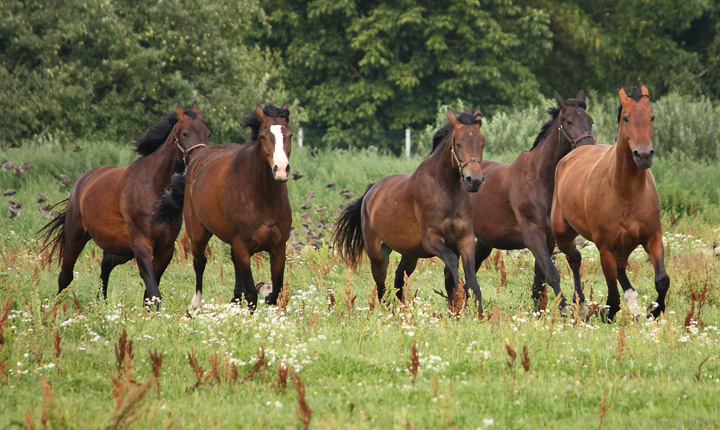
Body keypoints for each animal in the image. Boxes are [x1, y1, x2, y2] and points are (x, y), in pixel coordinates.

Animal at [39, 102, 210, 308]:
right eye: (185, 133)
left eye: (207, 133)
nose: (201, 158)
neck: (152, 187)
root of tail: (82, 182)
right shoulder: (141, 245)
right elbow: (154, 292)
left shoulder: (165, 249)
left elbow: (149, 295)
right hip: (76, 237)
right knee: (65, 276)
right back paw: (55, 308)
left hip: (120, 249)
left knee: (105, 265)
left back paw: (101, 303)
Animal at [155, 102, 292, 310]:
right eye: (262, 136)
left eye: (289, 135)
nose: (281, 169)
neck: (262, 197)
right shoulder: (243, 247)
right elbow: (251, 294)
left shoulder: (278, 248)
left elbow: (276, 292)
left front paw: (266, 292)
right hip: (198, 233)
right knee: (199, 263)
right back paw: (195, 305)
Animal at [334, 106, 486, 310]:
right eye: (458, 143)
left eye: (482, 144)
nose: (474, 180)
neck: (446, 190)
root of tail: (371, 192)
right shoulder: (431, 240)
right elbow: (453, 265)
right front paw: (460, 301)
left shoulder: (466, 239)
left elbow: (471, 278)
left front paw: (477, 312)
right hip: (378, 255)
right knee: (382, 288)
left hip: (410, 254)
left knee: (398, 279)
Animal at [444, 91, 596, 312]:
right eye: (568, 121)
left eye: (590, 121)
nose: (588, 149)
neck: (539, 179)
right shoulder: (532, 235)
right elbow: (552, 273)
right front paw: (565, 308)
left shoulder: (548, 240)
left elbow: (540, 280)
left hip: (483, 243)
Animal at [552, 85, 668, 320]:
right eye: (626, 118)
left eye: (651, 117)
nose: (643, 155)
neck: (626, 192)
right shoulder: (605, 247)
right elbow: (613, 297)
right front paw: (608, 312)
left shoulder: (652, 237)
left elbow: (662, 280)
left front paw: (654, 309)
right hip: (562, 233)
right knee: (575, 258)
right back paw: (582, 307)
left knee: (620, 269)